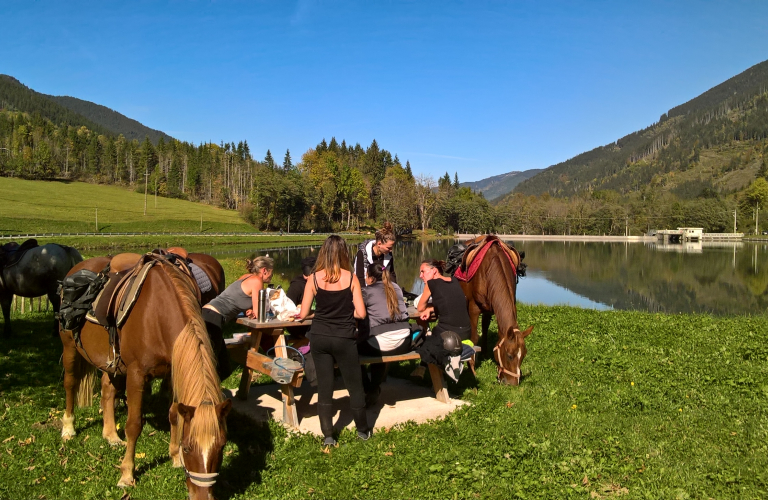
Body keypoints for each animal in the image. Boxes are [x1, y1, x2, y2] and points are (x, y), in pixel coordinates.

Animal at [60, 256, 231, 498]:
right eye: (188, 447)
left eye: (222, 446)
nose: (202, 496)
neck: (157, 314)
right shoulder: (136, 375)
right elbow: (133, 425)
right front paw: (127, 474)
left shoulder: (171, 373)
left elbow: (173, 414)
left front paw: (174, 457)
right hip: (70, 348)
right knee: (70, 384)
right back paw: (68, 428)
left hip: (112, 363)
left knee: (107, 390)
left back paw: (111, 435)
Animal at [450, 235, 536, 386]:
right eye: (509, 355)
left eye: (524, 355)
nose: (513, 383)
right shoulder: (473, 308)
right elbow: (473, 337)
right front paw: (472, 368)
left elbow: (485, 329)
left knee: (484, 327)